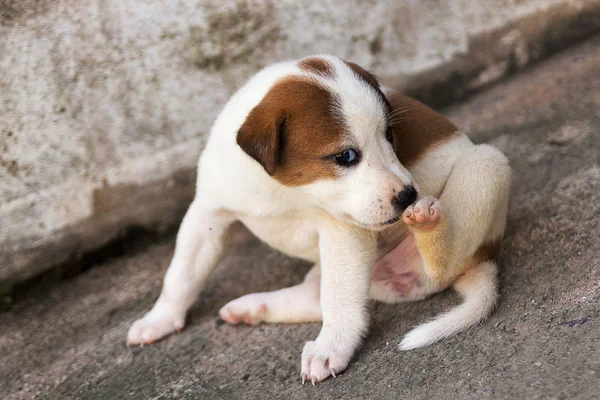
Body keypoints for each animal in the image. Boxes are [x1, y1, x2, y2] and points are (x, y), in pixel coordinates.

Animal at [126, 55, 510, 384]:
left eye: (389, 136)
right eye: (346, 156)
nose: (408, 196)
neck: (284, 189)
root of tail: (486, 256)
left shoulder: (344, 232)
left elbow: (339, 299)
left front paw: (331, 347)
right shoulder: (207, 213)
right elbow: (182, 274)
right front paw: (160, 319)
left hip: (485, 164)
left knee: (439, 261)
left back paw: (427, 222)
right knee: (322, 297)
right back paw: (253, 307)